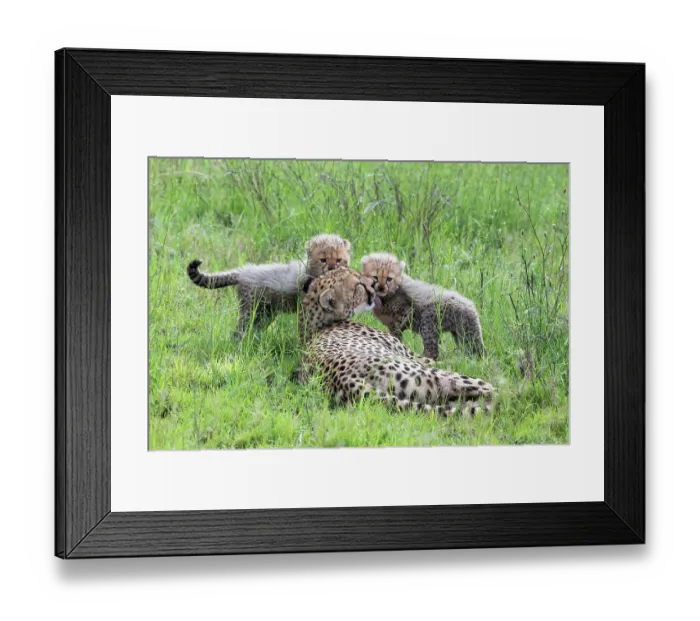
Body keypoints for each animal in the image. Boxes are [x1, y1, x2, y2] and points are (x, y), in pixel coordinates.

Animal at [187, 234, 351, 337]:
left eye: (338, 260)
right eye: (323, 260)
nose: (331, 268)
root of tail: (243, 271)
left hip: (265, 313)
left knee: (255, 328)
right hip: (250, 310)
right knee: (240, 330)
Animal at [297, 267, 494, 417]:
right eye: (358, 285)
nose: (373, 286)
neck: (316, 325)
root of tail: (344, 380)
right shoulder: (417, 357)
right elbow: (451, 359)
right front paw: (477, 359)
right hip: (435, 376)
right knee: (491, 392)